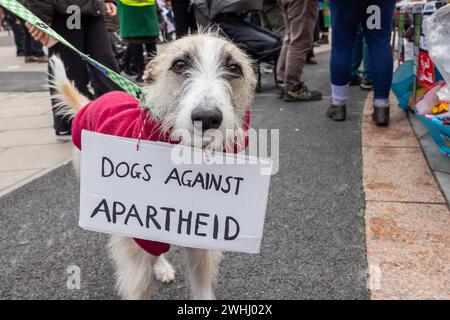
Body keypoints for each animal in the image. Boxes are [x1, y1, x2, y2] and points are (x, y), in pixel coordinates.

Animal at [49, 32, 256, 300]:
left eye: (234, 68)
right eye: (179, 64)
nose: (207, 117)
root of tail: (89, 103)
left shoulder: (198, 238)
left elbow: (201, 288)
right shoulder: (137, 243)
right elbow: (139, 285)